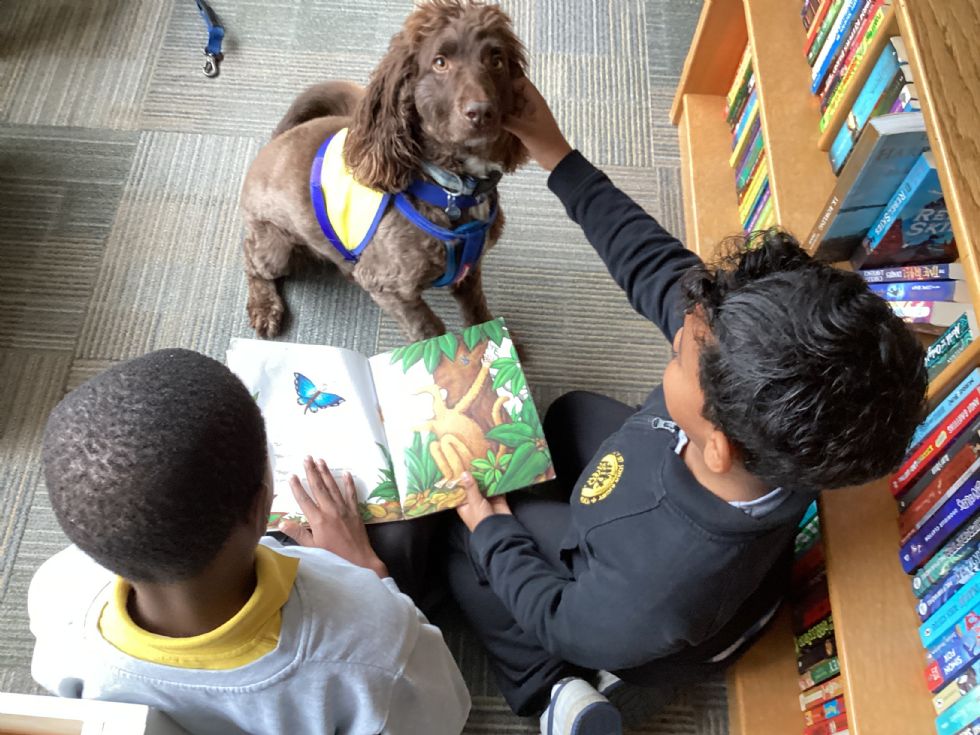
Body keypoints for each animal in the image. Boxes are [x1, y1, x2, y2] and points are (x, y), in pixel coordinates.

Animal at [240, 0, 528, 342]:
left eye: (496, 60)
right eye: (440, 63)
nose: (482, 112)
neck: (451, 190)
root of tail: (276, 139)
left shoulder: (469, 270)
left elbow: (477, 309)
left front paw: (495, 341)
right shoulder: (389, 286)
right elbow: (428, 330)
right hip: (275, 244)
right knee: (252, 258)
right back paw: (264, 306)